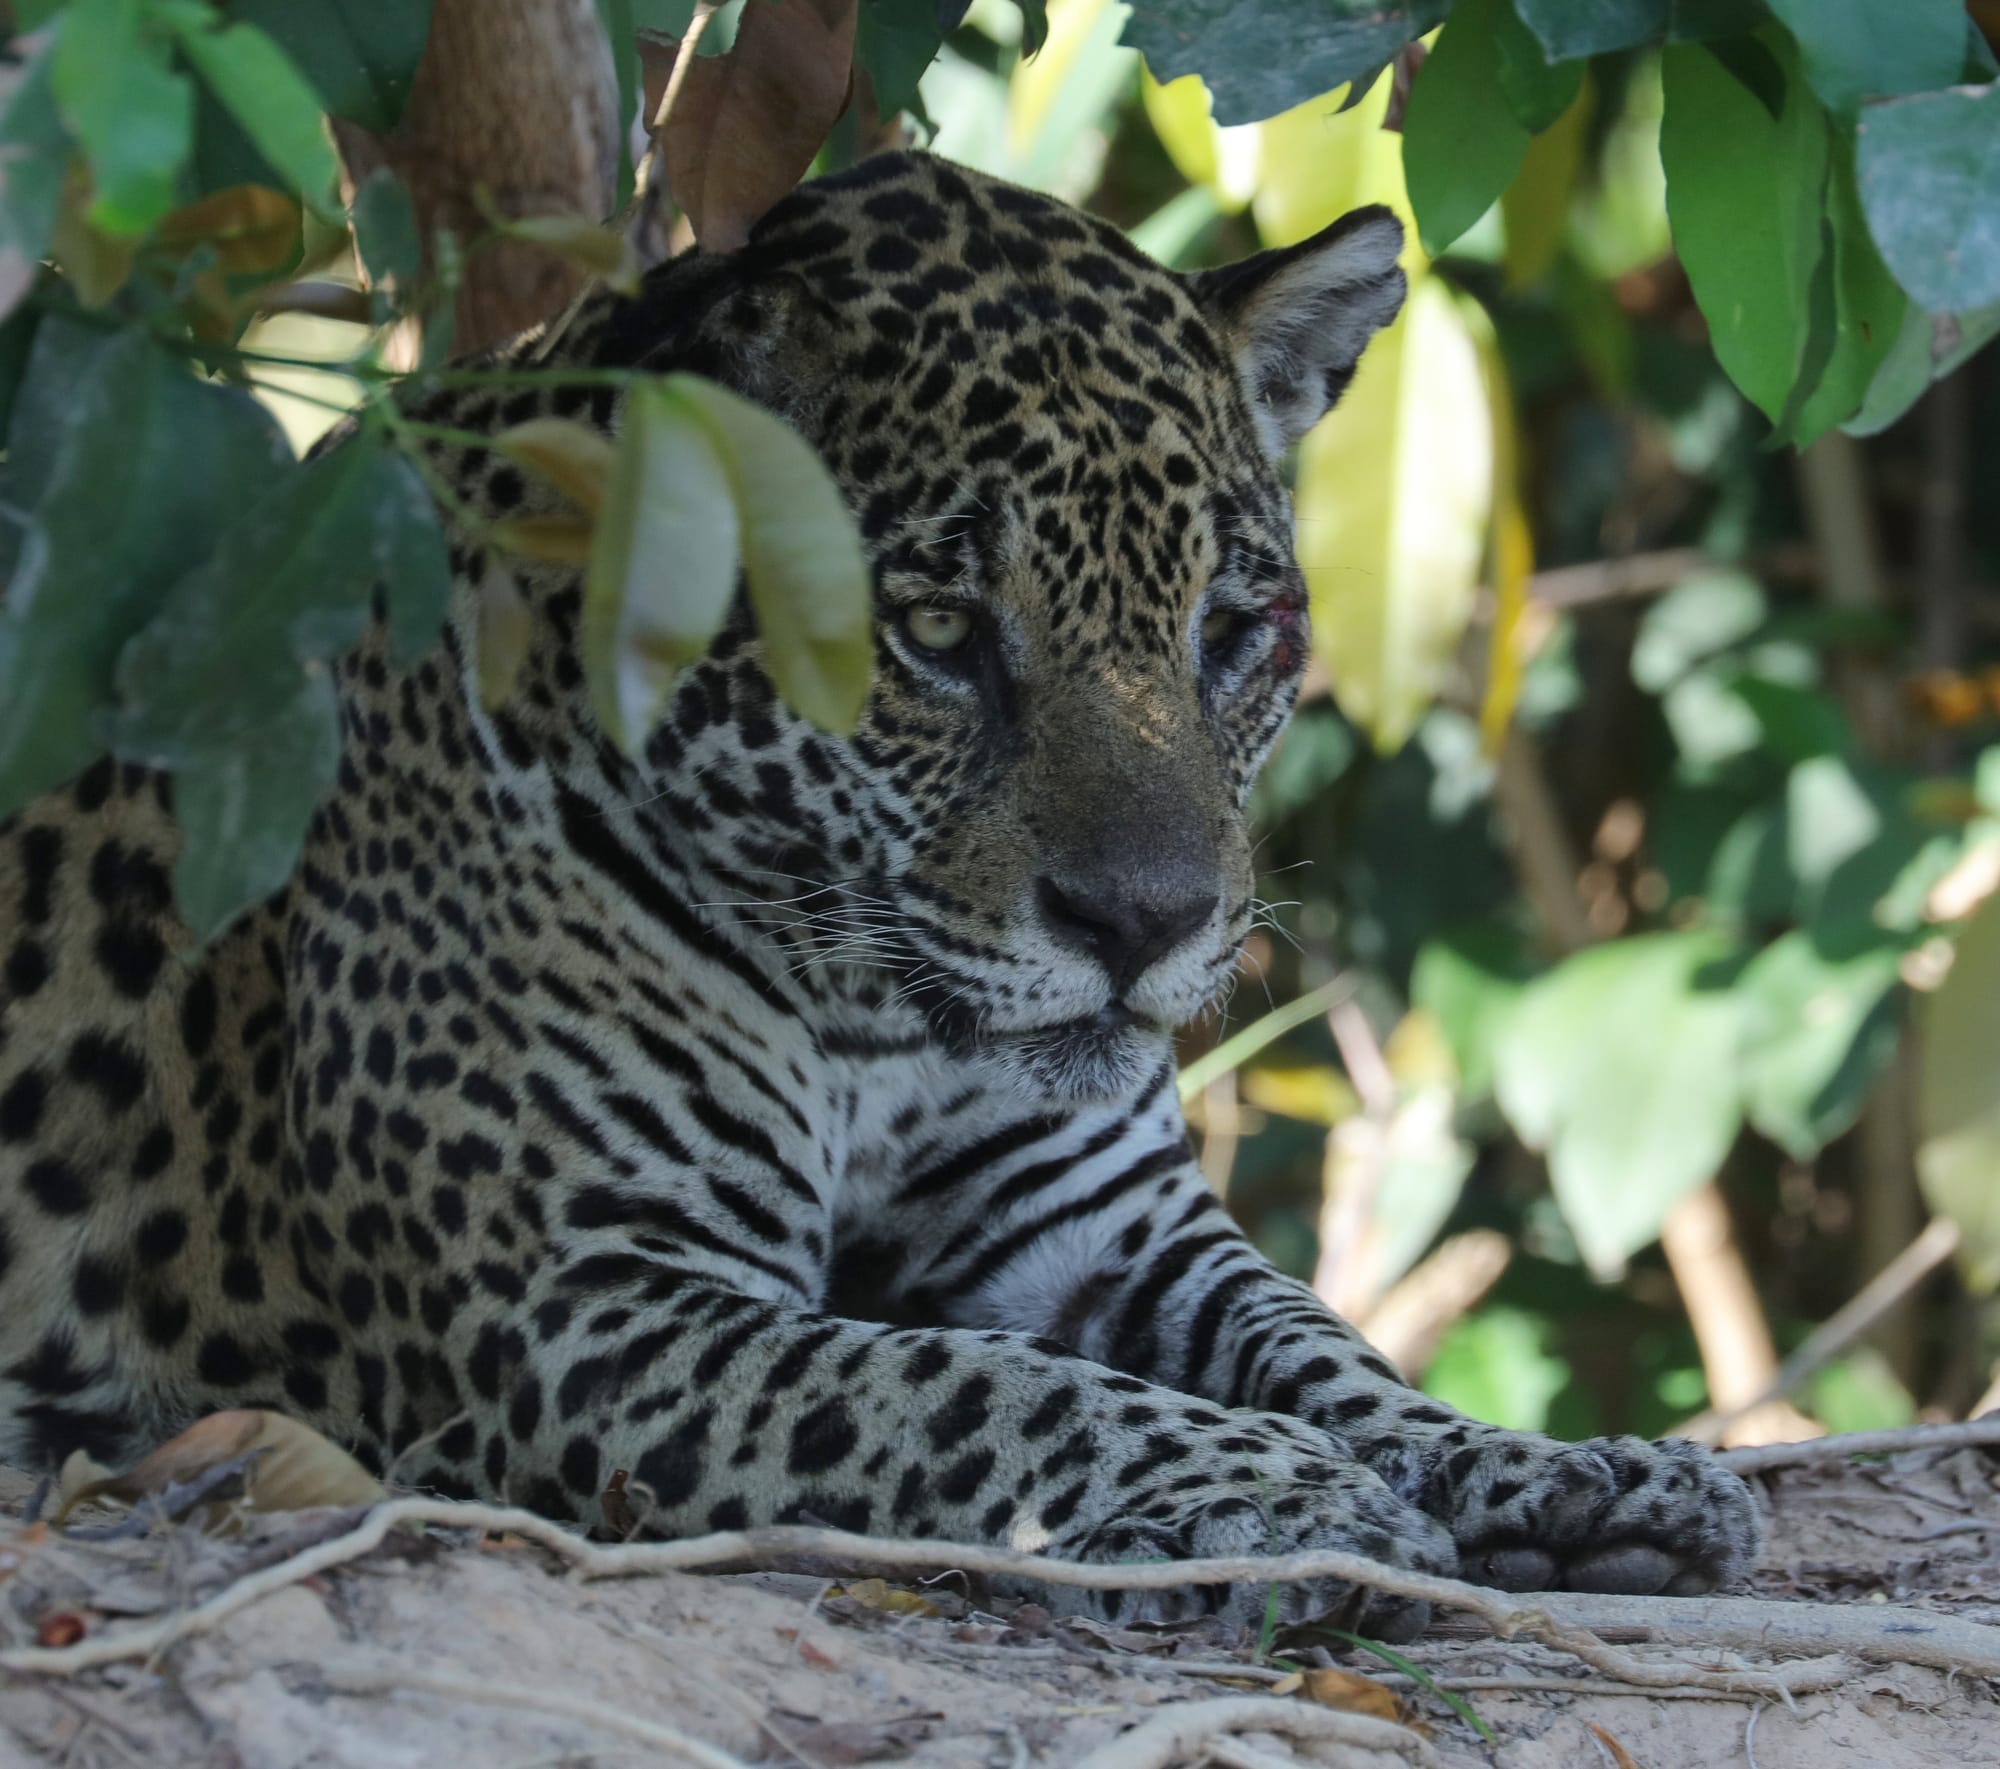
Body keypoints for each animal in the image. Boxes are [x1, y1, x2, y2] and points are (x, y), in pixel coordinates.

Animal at [0, 150, 1759, 1639]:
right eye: (934, 629)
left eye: (1235, 631)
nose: (1148, 926)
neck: (875, 1020)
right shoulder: (570, 1299)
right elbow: (962, 1387)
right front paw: (1289, 1501)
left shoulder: (1107, 1226)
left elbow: (1323, 1346)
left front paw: (1568, 1470)